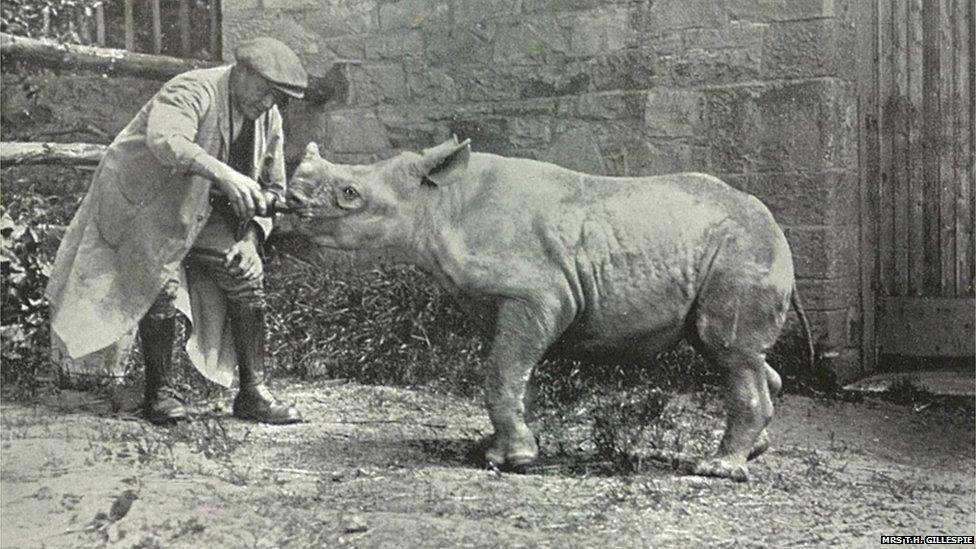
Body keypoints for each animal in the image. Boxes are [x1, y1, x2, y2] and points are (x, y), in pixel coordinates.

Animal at [286, 137, 813, 481]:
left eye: (350, 195)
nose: (289, 202)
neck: (437, 201)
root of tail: (776, 224)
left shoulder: (536, 294)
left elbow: (502, 373)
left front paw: (516, 460)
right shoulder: (503, 302)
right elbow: (510, 374)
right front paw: (496, 451)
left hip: (743, 248)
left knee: (729, 352)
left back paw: (719, 469)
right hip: (732, 251)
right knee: (727, 351)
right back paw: (755, 451)